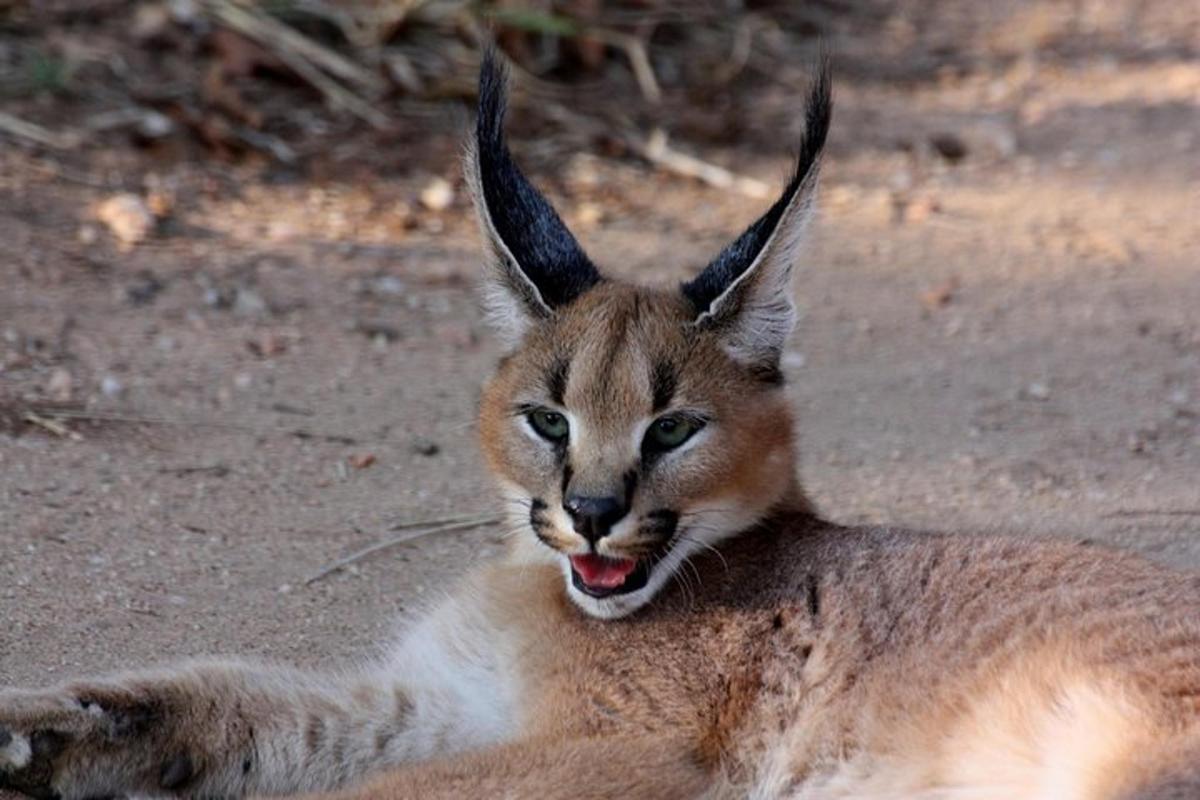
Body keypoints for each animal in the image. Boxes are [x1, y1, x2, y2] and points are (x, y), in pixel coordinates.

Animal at [2, 51, 1200, 800]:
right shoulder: (436, 698)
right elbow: (228, 700)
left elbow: (372, 789)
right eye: (546, 417)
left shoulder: (628, 750)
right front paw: (31, 729)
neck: (541, 594)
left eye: (671, 430)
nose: (588, 511)